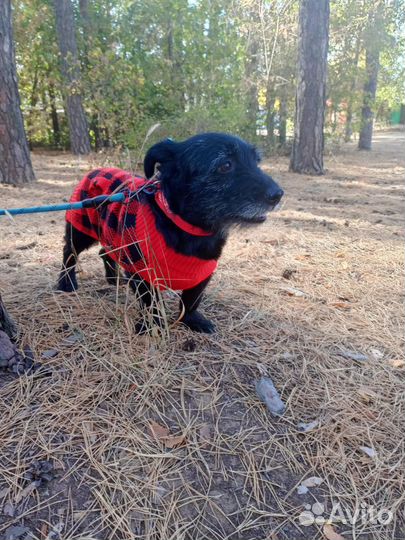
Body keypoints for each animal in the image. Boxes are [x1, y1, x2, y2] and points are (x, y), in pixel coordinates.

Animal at [57, 133, 284, 332]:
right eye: (225, 164)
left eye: (257, 161)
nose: (278, 194)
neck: (190, 230)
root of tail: (94, 170)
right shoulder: (143, 273)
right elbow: (152, 303)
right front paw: (153, 326)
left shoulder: (203, 273)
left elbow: (191, 300)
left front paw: (192, 320)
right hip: (81, 231)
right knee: (69, 253)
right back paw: (66, 283)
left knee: (104, 252)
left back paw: (114, 279)